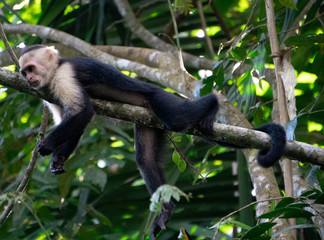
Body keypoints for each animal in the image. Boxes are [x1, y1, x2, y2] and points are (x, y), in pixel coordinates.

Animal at [18, 44, 286, 238]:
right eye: (24, 72)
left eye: (31, 68)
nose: (28, 80)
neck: (54, 72)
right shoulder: (48, 92)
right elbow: (75, 123)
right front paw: (59, 159)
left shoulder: (64, 76)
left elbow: (82, 113)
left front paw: (46, 146)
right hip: (147, 120)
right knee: (145, 159)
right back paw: (166, 212)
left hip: (159, 98)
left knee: (177, 118)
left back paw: (212, 104)